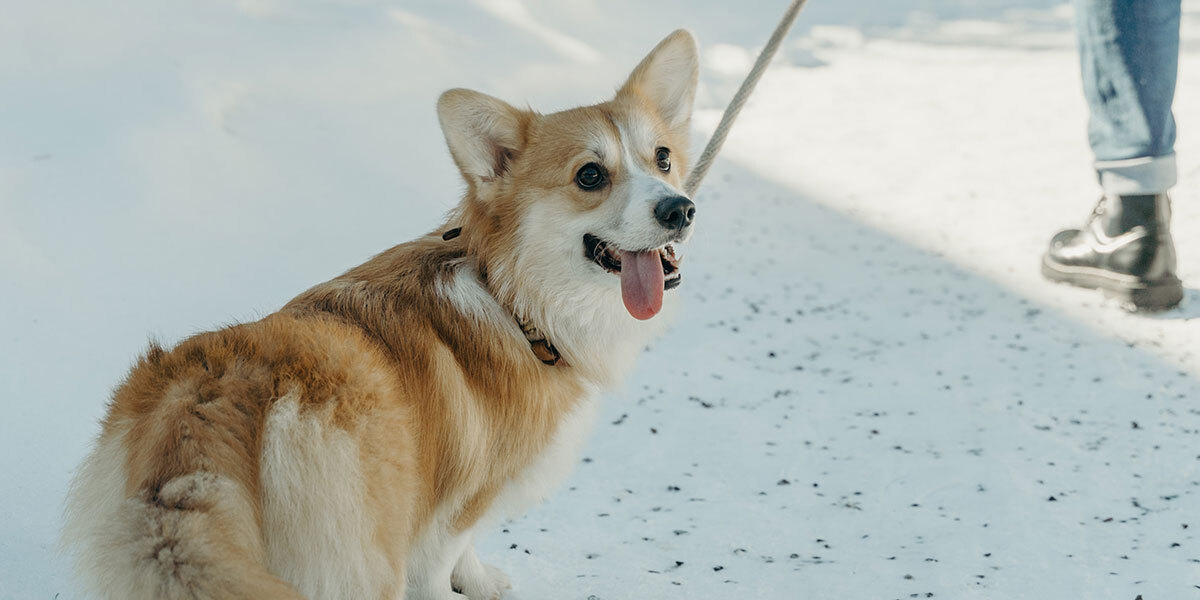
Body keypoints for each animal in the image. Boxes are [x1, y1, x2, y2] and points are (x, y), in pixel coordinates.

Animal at [63, 30, 700, 600]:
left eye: (663, 158)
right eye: (589, 175)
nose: (680, 209)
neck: (514, 296)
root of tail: (213, 397)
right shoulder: (458, 503)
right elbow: (445, 563)